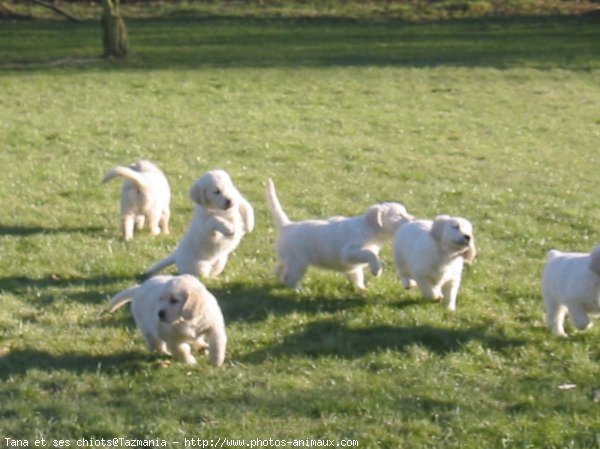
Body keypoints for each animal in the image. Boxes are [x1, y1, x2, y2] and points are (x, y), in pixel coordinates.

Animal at [266, 178, 412, 290]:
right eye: (399, 215)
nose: (413, 219)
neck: (369, 229)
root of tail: (287, 225)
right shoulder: (349, 252)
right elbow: (370, 254)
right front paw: (377, 270)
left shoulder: (352, 266)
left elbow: (357, 277)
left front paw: (362, 290)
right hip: (298, 263)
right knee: (289, 278)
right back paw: (298, 289)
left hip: (288, 259)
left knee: (279, 270)